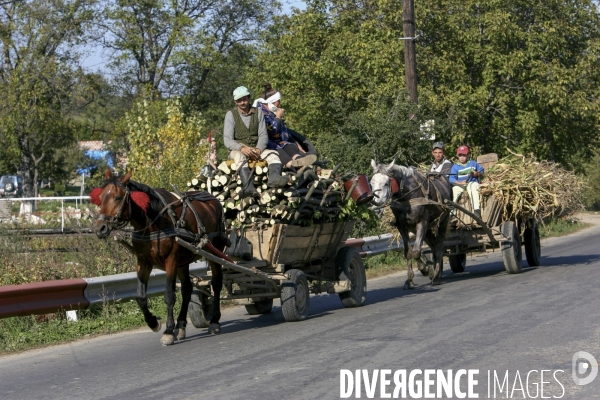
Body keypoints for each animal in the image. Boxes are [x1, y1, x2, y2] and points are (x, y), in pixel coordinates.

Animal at [91, 170, 227, 346]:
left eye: (118, 197)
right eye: (100, 197)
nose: (100, 228)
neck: (153, 222)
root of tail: (213, 199)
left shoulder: (171, 260)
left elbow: (169, 295)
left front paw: (168, 331)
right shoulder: (143, 262)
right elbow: (140, 297)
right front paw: (154, 322)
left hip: (215, 251)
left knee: (216, 283)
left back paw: (214, 321)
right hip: (183, 262)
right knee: (187, 289)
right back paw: (181, 326)